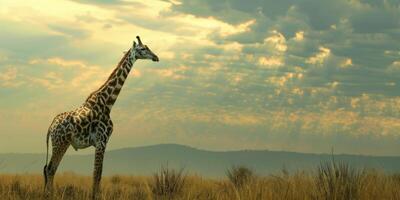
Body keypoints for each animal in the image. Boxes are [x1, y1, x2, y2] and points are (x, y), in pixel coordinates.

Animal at [42, 35, 158, 198]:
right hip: (60, 142)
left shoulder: (102, 143)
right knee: (50, 169)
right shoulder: (101, 141)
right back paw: (50, 195)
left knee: (50, 168)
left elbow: (98, 173)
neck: (108, 103)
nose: (156, 57)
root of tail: (51, 127)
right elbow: (97, 174)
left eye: (148, 47)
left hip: (61, 143)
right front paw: (94, 196)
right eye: (142, 49)